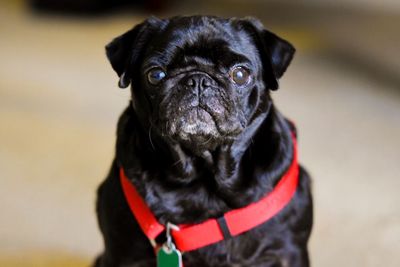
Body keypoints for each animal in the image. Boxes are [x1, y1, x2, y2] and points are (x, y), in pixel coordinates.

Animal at [96, 15, 312, 266]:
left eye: (240, 75)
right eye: (155, 74)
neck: (202, 166)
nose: (197, 79)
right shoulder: (123, 253)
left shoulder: (287, 252)